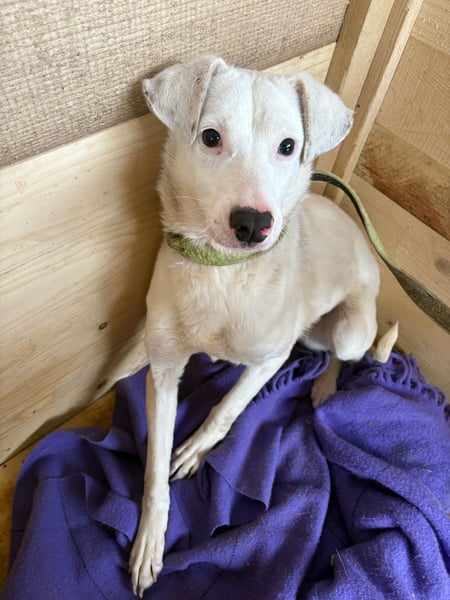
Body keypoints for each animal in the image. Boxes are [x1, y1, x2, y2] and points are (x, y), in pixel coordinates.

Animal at [129, 55, 396, 596]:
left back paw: (326, 387)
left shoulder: (271, 359)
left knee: (341, 354)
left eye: (288, 146)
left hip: (349, 330)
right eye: (210, 137)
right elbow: (153, 474)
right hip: (313, 331)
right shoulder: (162, 371)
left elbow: (226, 410)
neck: (224, 274)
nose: (253, 223)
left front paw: (196, 450)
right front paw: (150, 541)